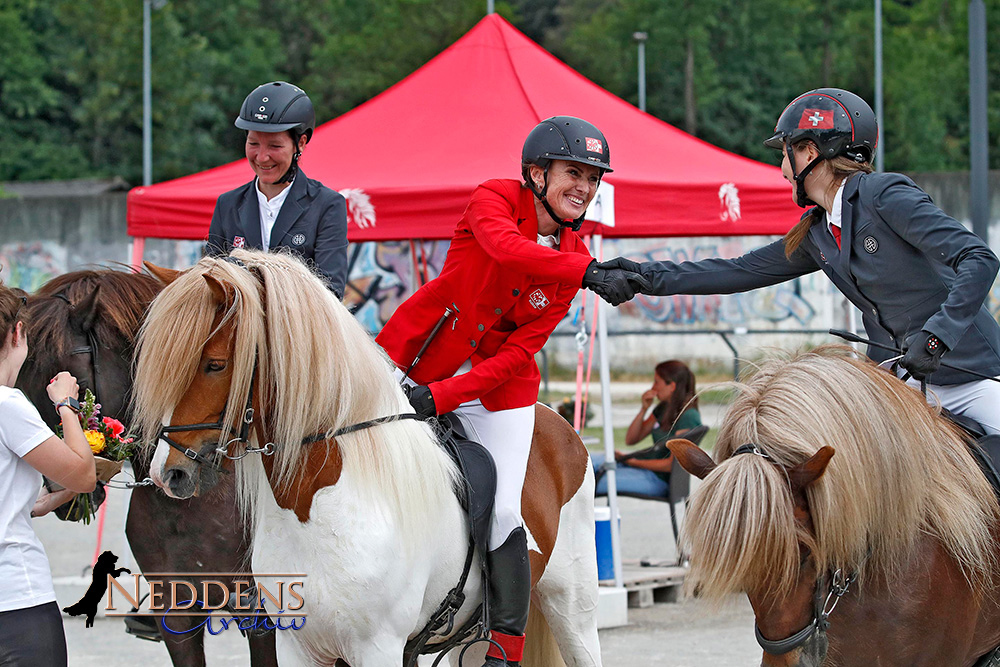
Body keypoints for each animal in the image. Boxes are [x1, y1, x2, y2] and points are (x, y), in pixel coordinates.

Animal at [132, 250, 600, 667]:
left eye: (215, 365)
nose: (168, 473)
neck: (318, 503)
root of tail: (561, 424)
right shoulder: (297, 647)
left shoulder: (379, 648)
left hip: (572, 610)